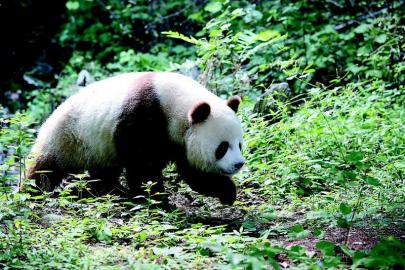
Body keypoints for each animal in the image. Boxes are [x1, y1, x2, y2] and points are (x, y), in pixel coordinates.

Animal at [28, 71, 245, 205]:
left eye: (240, 145)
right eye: (222, 147)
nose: (239, 164)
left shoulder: (180, 139)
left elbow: (194, 172)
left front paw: (227, 192)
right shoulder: (144, 115)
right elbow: (143, 165)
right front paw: (157, 200)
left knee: (104, 172)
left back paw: (111, 190)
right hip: (68, 137)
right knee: (45, 169)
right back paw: (35, 190)